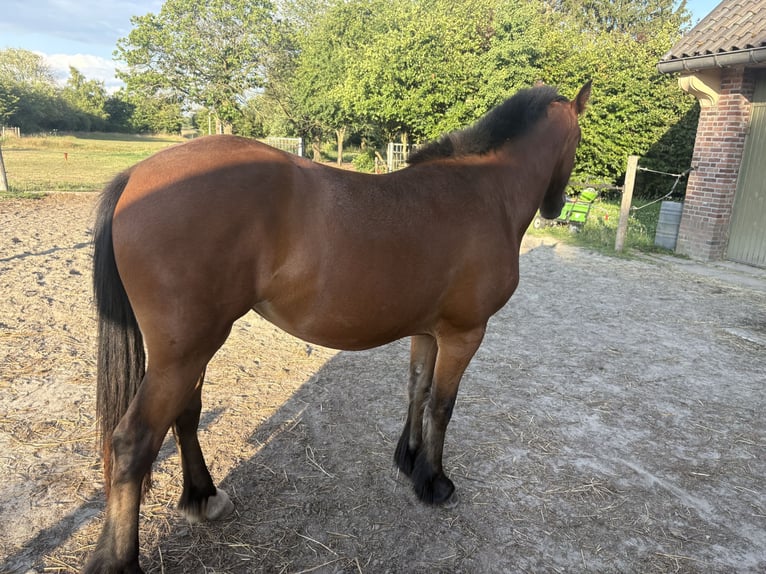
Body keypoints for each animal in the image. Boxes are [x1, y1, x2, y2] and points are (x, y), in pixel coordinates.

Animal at [85, 81, 591, 573]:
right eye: (578, 140)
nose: (558, 205)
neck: (485, 193)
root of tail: (136, 176)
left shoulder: (427, 332)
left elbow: (417, 390)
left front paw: (408, 460)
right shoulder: (464, 334)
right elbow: (442, 407)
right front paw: (434, 482)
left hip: (192, 350)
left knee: (186, 416)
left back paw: (203, 497)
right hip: (183, 353)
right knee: (132, 444)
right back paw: (121, 559)